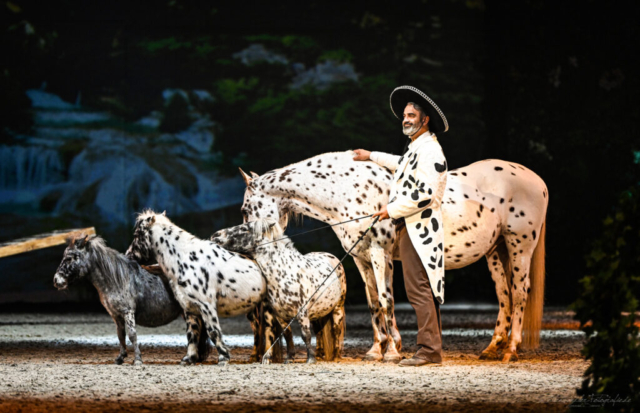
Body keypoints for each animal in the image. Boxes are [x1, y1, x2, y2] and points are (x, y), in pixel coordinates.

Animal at [54, 233, 210, 366]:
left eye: (69, 257)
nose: (56, 280)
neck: (116, 279)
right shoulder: (116, 315)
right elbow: (120, 335)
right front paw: (120, 358)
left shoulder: (128, 312)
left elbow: (132, 335)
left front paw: (138, 360)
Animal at [238, 150, 548, 360]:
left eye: (244, 209)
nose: (250, 250)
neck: (349, 188)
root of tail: (536, 180)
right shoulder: (361, 258)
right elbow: (374, 302)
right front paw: (378, 349)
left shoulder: (380, 254)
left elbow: (387, 300)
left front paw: (392, 351)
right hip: (496, 251)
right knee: (504, 295)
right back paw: (492, 347)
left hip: (519, 246)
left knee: (519, 293)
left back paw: (511, 350)